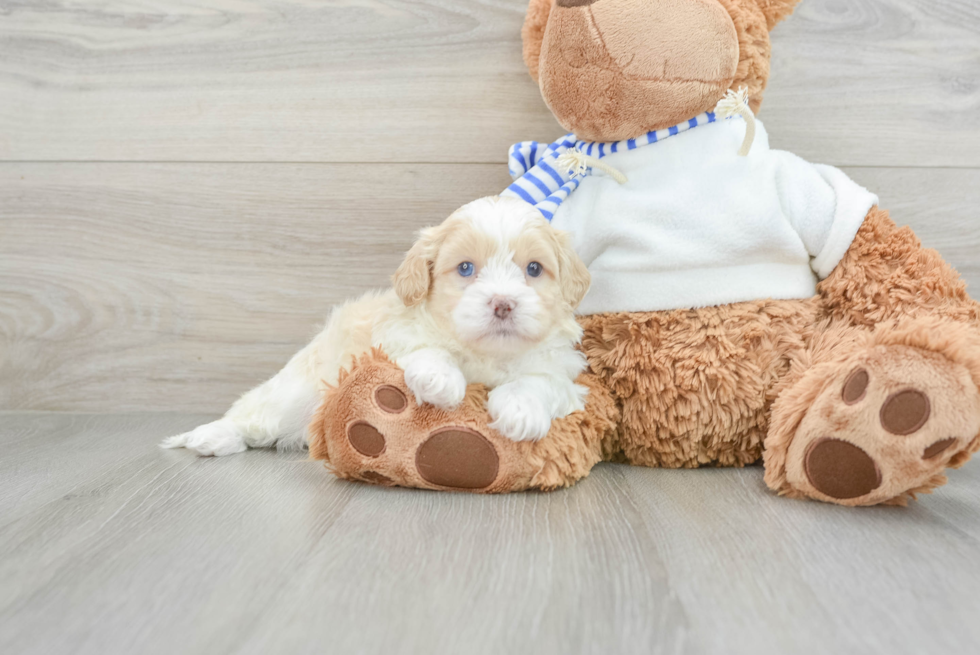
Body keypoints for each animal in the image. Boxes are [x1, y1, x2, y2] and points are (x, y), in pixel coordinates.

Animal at [163, 196, 588, 456]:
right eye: (466, 268)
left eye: (534, 269)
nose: (503, 304)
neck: (484, 354)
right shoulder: (393, 337)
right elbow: (426, 348)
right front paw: (440, 379)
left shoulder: (560, 372)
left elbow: (537, 381)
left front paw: (521, 410)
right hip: (292, 394)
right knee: (253, 417)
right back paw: (212, 436)